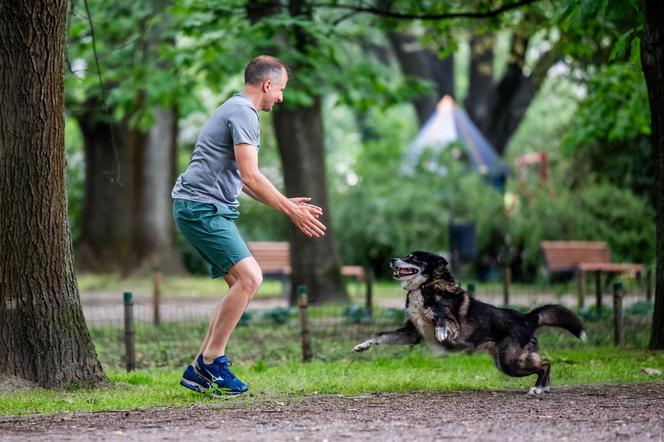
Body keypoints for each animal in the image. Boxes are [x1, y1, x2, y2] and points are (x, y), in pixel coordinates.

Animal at [352, 252, 588, 394]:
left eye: (414, 258)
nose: (393, 259)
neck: (424, 288)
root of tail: (526, 317)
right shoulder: (412, 334)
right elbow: (380, 335)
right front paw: (363, 345)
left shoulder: (454, 323)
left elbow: (443, 319)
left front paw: (441, 332)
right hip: (508, 361)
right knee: (544, 363)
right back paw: (544, 388)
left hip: (510, 361)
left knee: (546, 364)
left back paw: (538, 388)